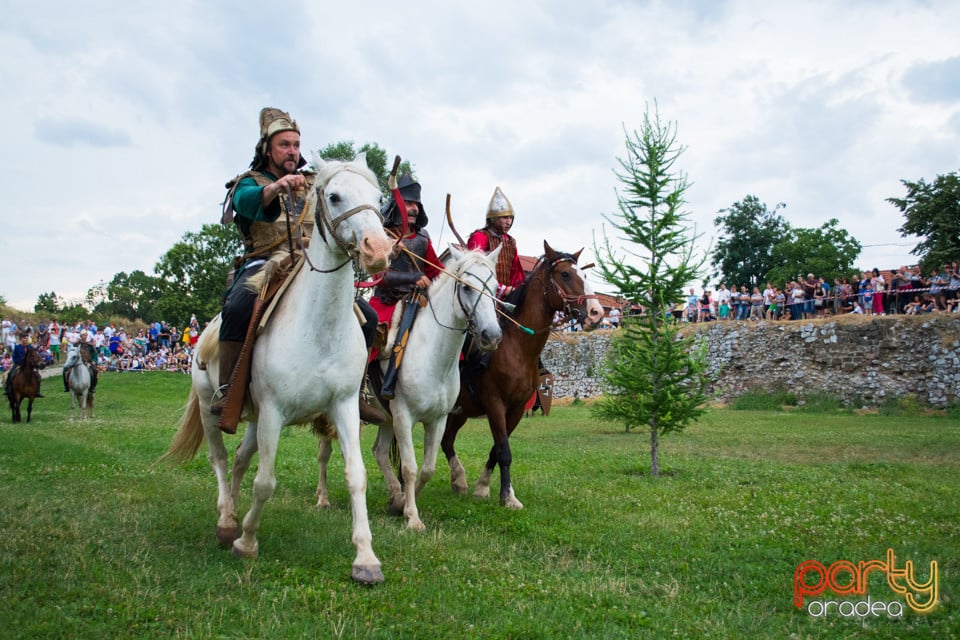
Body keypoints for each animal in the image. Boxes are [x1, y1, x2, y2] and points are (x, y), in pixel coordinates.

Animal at [161, 154, 394, 584]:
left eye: (378, 199)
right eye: (334, 196)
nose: (378, 249)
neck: (318, 328)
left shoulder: (343, 408)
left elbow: (356, 476)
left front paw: (366, 559)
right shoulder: (273, 412)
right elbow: (266, 481)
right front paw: (246, 543)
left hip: (252, 419)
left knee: (239, 460)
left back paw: (233, 514)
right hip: (211, 409)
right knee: (221, 459)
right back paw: (226, 522)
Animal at [316, 245, 510, 528]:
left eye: (494, 287)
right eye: (466, 288)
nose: (492, 336)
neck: (432, 354)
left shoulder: (437, 420)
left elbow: (427, 469)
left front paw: (400, 505)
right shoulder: (404, 416)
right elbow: (409, 468)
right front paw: (413, 518)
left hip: (385, 418)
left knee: (379, 452)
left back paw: (393, 493)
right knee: (325, 451)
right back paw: (323, 498)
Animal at [440, 242, 604, 508]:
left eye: (585, 275)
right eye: (565, 274)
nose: (596, 313)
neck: (516, 346)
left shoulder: (517, 408)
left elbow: (497, 450)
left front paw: (484, 488)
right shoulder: (495, 404)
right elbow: (504, 451)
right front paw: (507, 497)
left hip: (459, 412)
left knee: (446, 441)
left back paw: (459, 481)